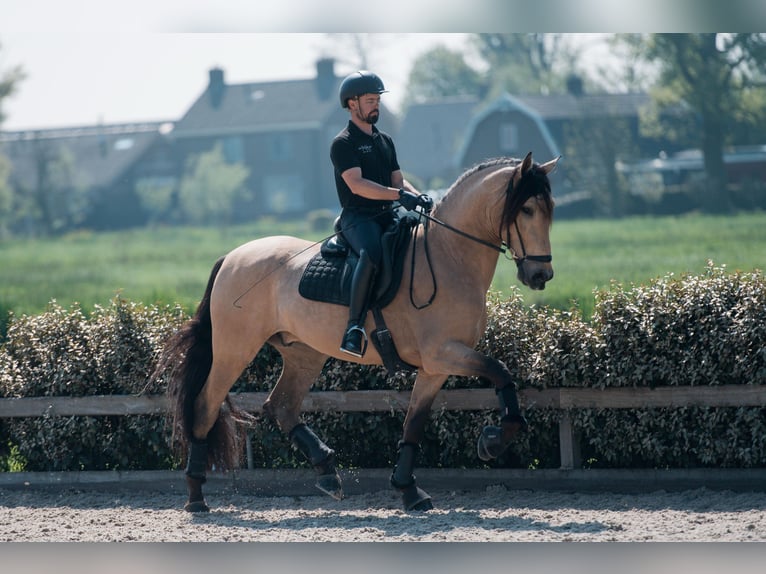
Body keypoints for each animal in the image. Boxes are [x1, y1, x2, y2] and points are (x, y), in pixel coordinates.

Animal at [155, 151, 559, 512]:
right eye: (526, 210)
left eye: (550, 210)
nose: (541, 276)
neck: (450, 256)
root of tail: (232, 257)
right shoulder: (443, 353)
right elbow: (500, 372)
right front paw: (493, 441)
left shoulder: (436, 367)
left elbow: (414, 424)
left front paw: (410, 491)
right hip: (235, 350)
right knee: (206, 406)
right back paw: (196, 496)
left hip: (304, 353)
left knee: (282, 405)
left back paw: (327, 472)